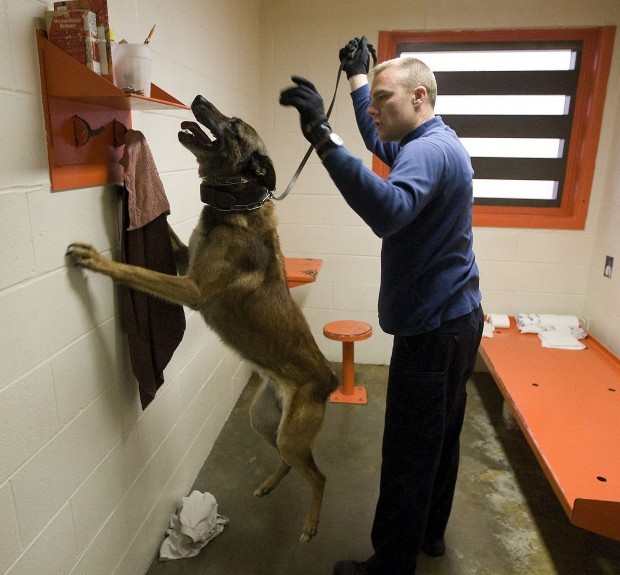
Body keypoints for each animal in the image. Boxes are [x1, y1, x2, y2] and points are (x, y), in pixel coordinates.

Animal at [66, 95, 338, 543]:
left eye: (233, 124)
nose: (197, 99)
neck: (238, 205)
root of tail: (329, 380)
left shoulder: (191, 289)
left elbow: (137, 272)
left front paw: (97, 261)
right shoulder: (184, 260)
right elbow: (167, 235)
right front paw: (126, 186)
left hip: (290, 435)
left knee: (319, 476)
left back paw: (312, 524)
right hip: (265, 423)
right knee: (292, 463)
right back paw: (269, 484)